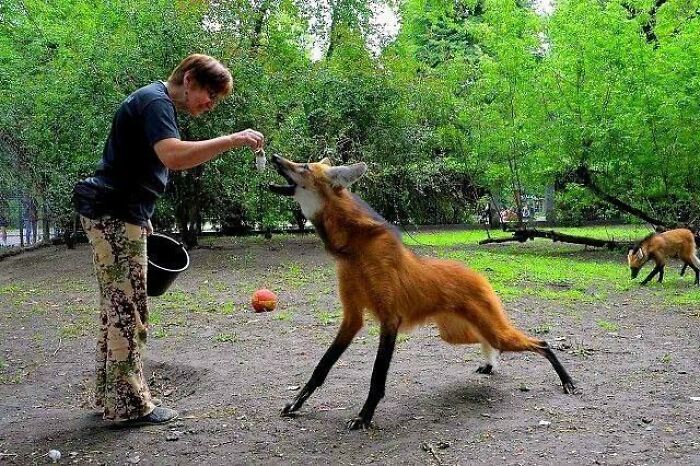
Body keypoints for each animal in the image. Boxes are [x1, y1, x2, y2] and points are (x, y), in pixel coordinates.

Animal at [269, 155, 575, 430]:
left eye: (303, 166)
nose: (273, 157)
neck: (354, 249)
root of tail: (478, 274)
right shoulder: (352, 318)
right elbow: (321, 368)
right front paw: (296, 404)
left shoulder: (390, 319)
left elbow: (377, 377)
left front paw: (364, 417)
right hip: (455, 333)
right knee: (486, 340)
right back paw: (490, 364)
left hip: (490, 330)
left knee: (540, 343)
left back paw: (566, 380)